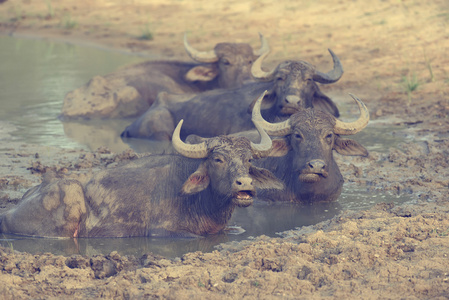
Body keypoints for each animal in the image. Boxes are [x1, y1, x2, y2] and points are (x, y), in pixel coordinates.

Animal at [0, 111, 282, 238]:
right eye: (218, 159)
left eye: (248, 160)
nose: (244, 183)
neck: (202, 202)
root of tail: (8, 214)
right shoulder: (163, 232)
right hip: (69, 199)